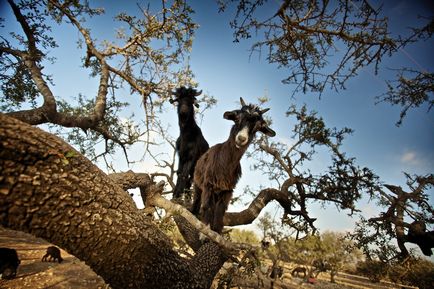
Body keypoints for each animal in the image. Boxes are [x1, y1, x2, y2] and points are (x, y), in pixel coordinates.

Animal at [192, 98, 274, 233]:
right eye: (237, 118)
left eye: (258, 126)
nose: (241, 138)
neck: (224, 164)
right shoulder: (208, 185)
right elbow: (207, 208)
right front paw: (204, 232)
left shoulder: (228, 190)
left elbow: (219, 213)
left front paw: (216, 232)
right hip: (198, 184)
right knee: (198, 199)